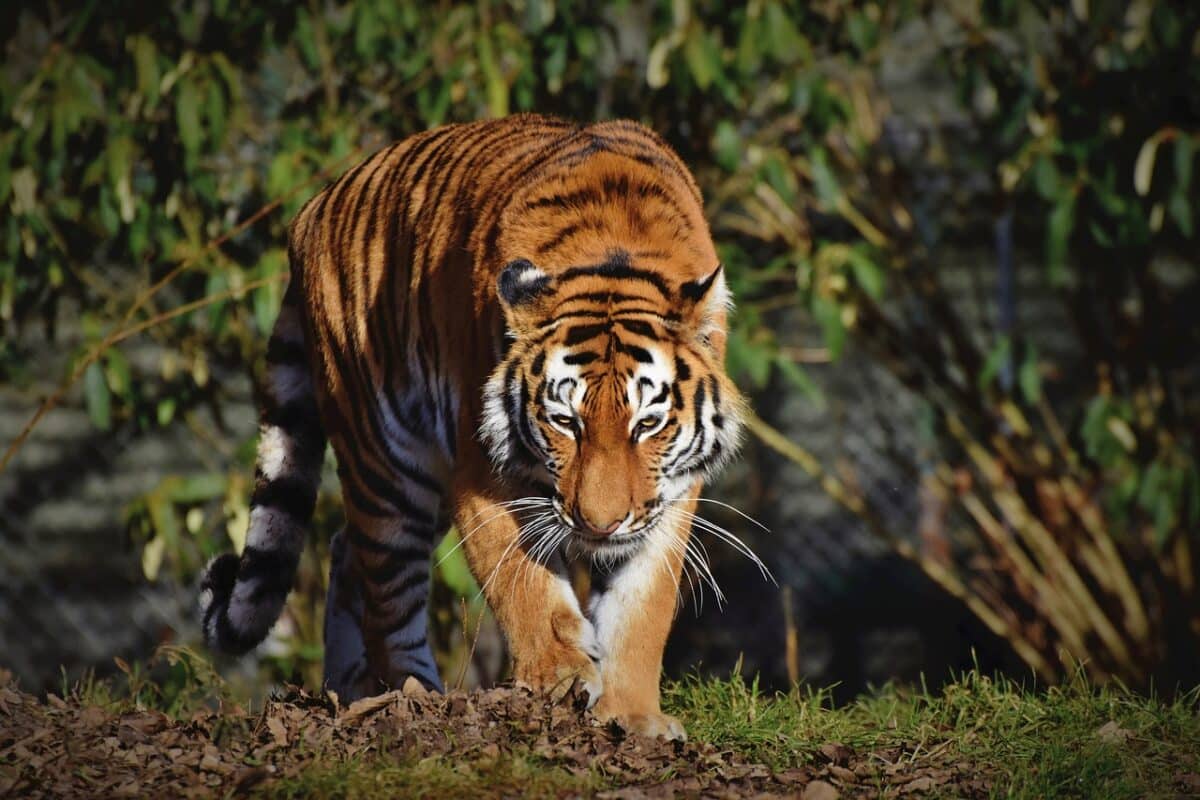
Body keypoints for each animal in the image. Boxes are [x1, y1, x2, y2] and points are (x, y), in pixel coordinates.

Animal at [201, 110, 744, 738]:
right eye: (565, 421)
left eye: (648, 424)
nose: (599, 525)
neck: (615, 251)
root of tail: (310, 210)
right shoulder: (481, 470)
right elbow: (524, 584)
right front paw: (559, 679)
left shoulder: (668, 495)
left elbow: (642, 608)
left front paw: (634, 717)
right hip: (387, 463)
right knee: (386, 588)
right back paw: (414, 697)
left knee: (345, 551)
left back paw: (350, 690)